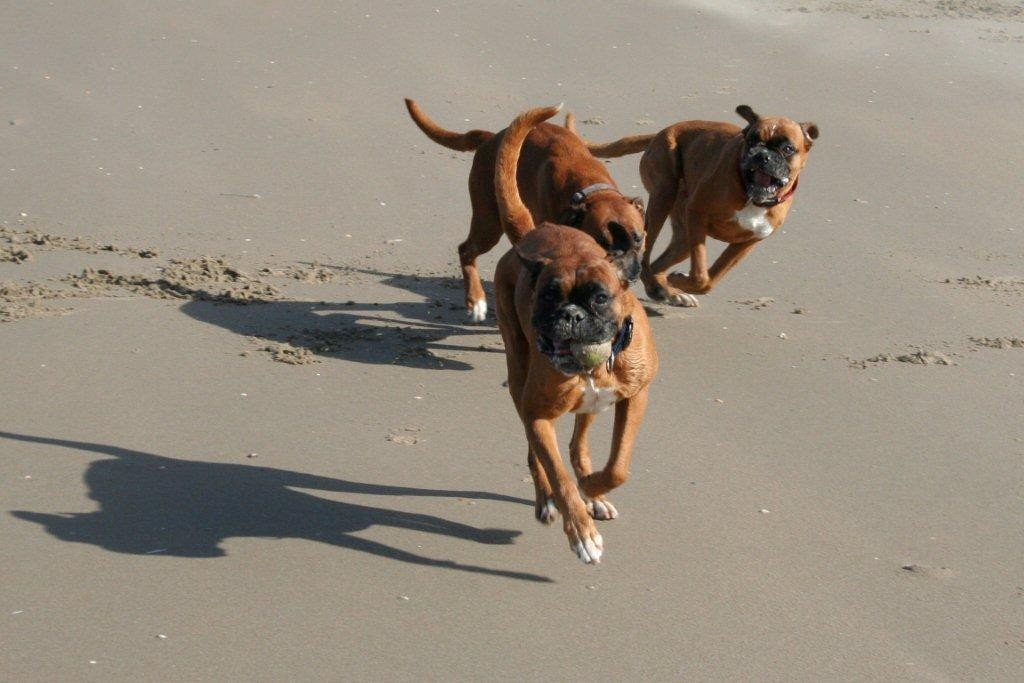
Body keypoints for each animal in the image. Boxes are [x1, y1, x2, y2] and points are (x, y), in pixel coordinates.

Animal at [403, 99, 643, 323]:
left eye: (638, 239)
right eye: (599, 242)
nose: (631, 270)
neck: (590, 188)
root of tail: (492, 138)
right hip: (488, 225)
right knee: (466, 250)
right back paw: (476, 301)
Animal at [493, 105, 655, 565]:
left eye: (599, 297)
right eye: (547, 296)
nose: (570, 314)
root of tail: (533, 231)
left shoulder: (635, 397)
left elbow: (618, 466)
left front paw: (593, 489)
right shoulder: (538, 415)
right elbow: (559, 476)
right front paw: (580, 529)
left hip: (591, 407)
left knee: (578, 445)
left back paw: (591, 492)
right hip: (519, 378)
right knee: (540, 455)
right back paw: (547, 500)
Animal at [581, 104, 819, 307]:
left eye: (787, 148)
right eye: (752, 140)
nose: (762, 155)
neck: (751, 196)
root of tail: (661, 132)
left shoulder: (747, 243)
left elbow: (710, 280)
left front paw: (678, 281)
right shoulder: (697, 215)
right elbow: (700, 276)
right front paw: (680, 279)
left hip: (683, 237)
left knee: (657, 264)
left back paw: (666, 290)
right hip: (664, 196)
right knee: (646, 257)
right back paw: (662, 286)